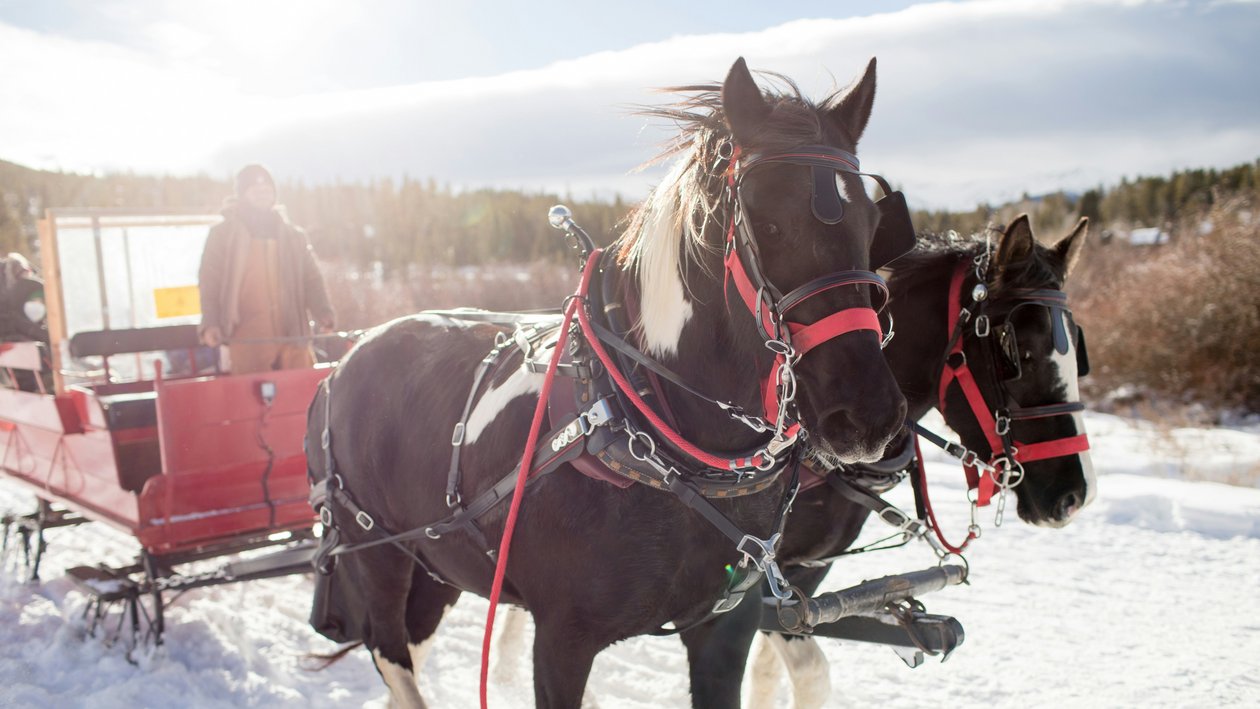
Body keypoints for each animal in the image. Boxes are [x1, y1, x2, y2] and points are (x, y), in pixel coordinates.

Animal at [306, 57, 915, 708]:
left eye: (874, 224)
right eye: (768, 223)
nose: (868, 414)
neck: (648, 424)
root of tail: (343, 362)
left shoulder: (725, 629)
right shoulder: (562, 641)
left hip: (439, 560)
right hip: (379, 555)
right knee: (391, 652)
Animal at [679, 215, 1095, 707]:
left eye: (1077, 351)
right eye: (1018, 353)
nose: (1076, 495)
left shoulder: (807, 570)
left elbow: (768, 669)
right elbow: (809, 669)